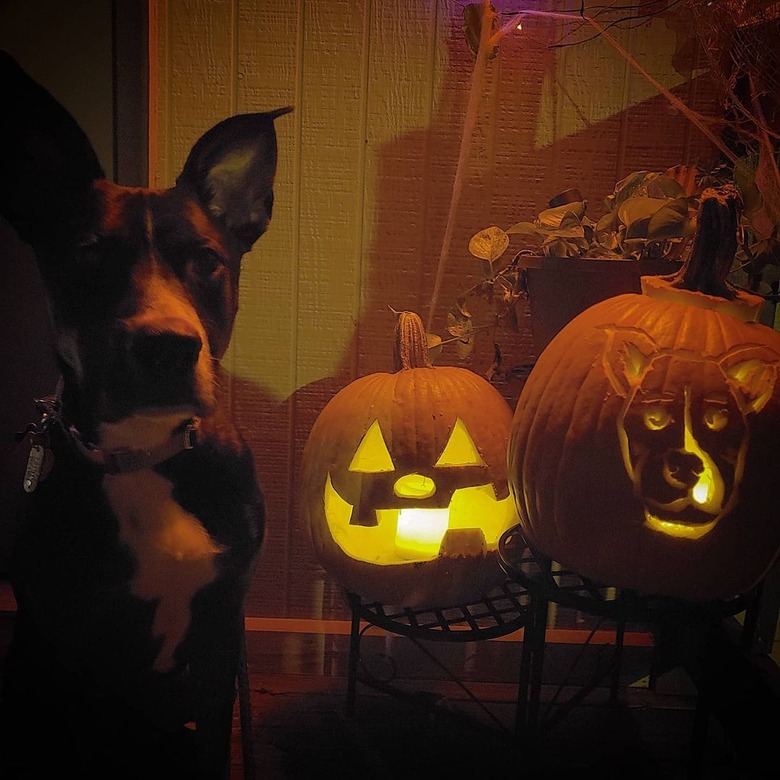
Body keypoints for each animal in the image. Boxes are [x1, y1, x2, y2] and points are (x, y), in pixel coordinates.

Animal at [0, 51, 290, 776]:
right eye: (89, 256)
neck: (145, 451)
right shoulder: (76, 660)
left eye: (208, 261)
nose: (167, 347)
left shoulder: (221, 637)